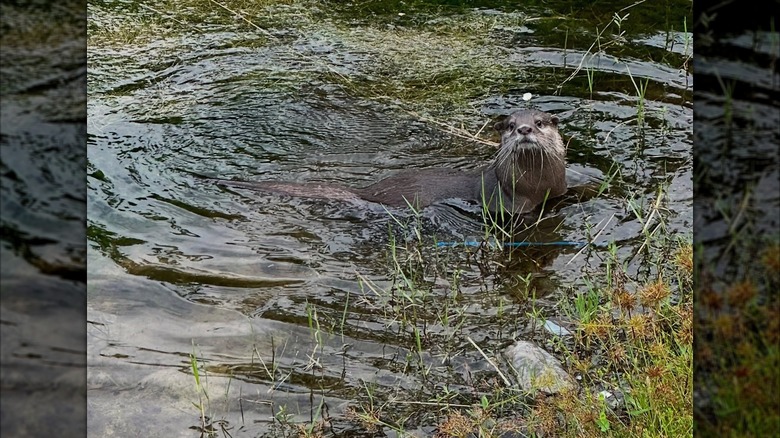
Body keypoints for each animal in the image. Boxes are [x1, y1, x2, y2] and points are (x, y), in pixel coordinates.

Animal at [215, 109, 568, 215]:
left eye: (539, 122)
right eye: (509, 125)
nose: (524, 129)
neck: (537, 186)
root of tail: (369, 190)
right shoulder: (512, 206)